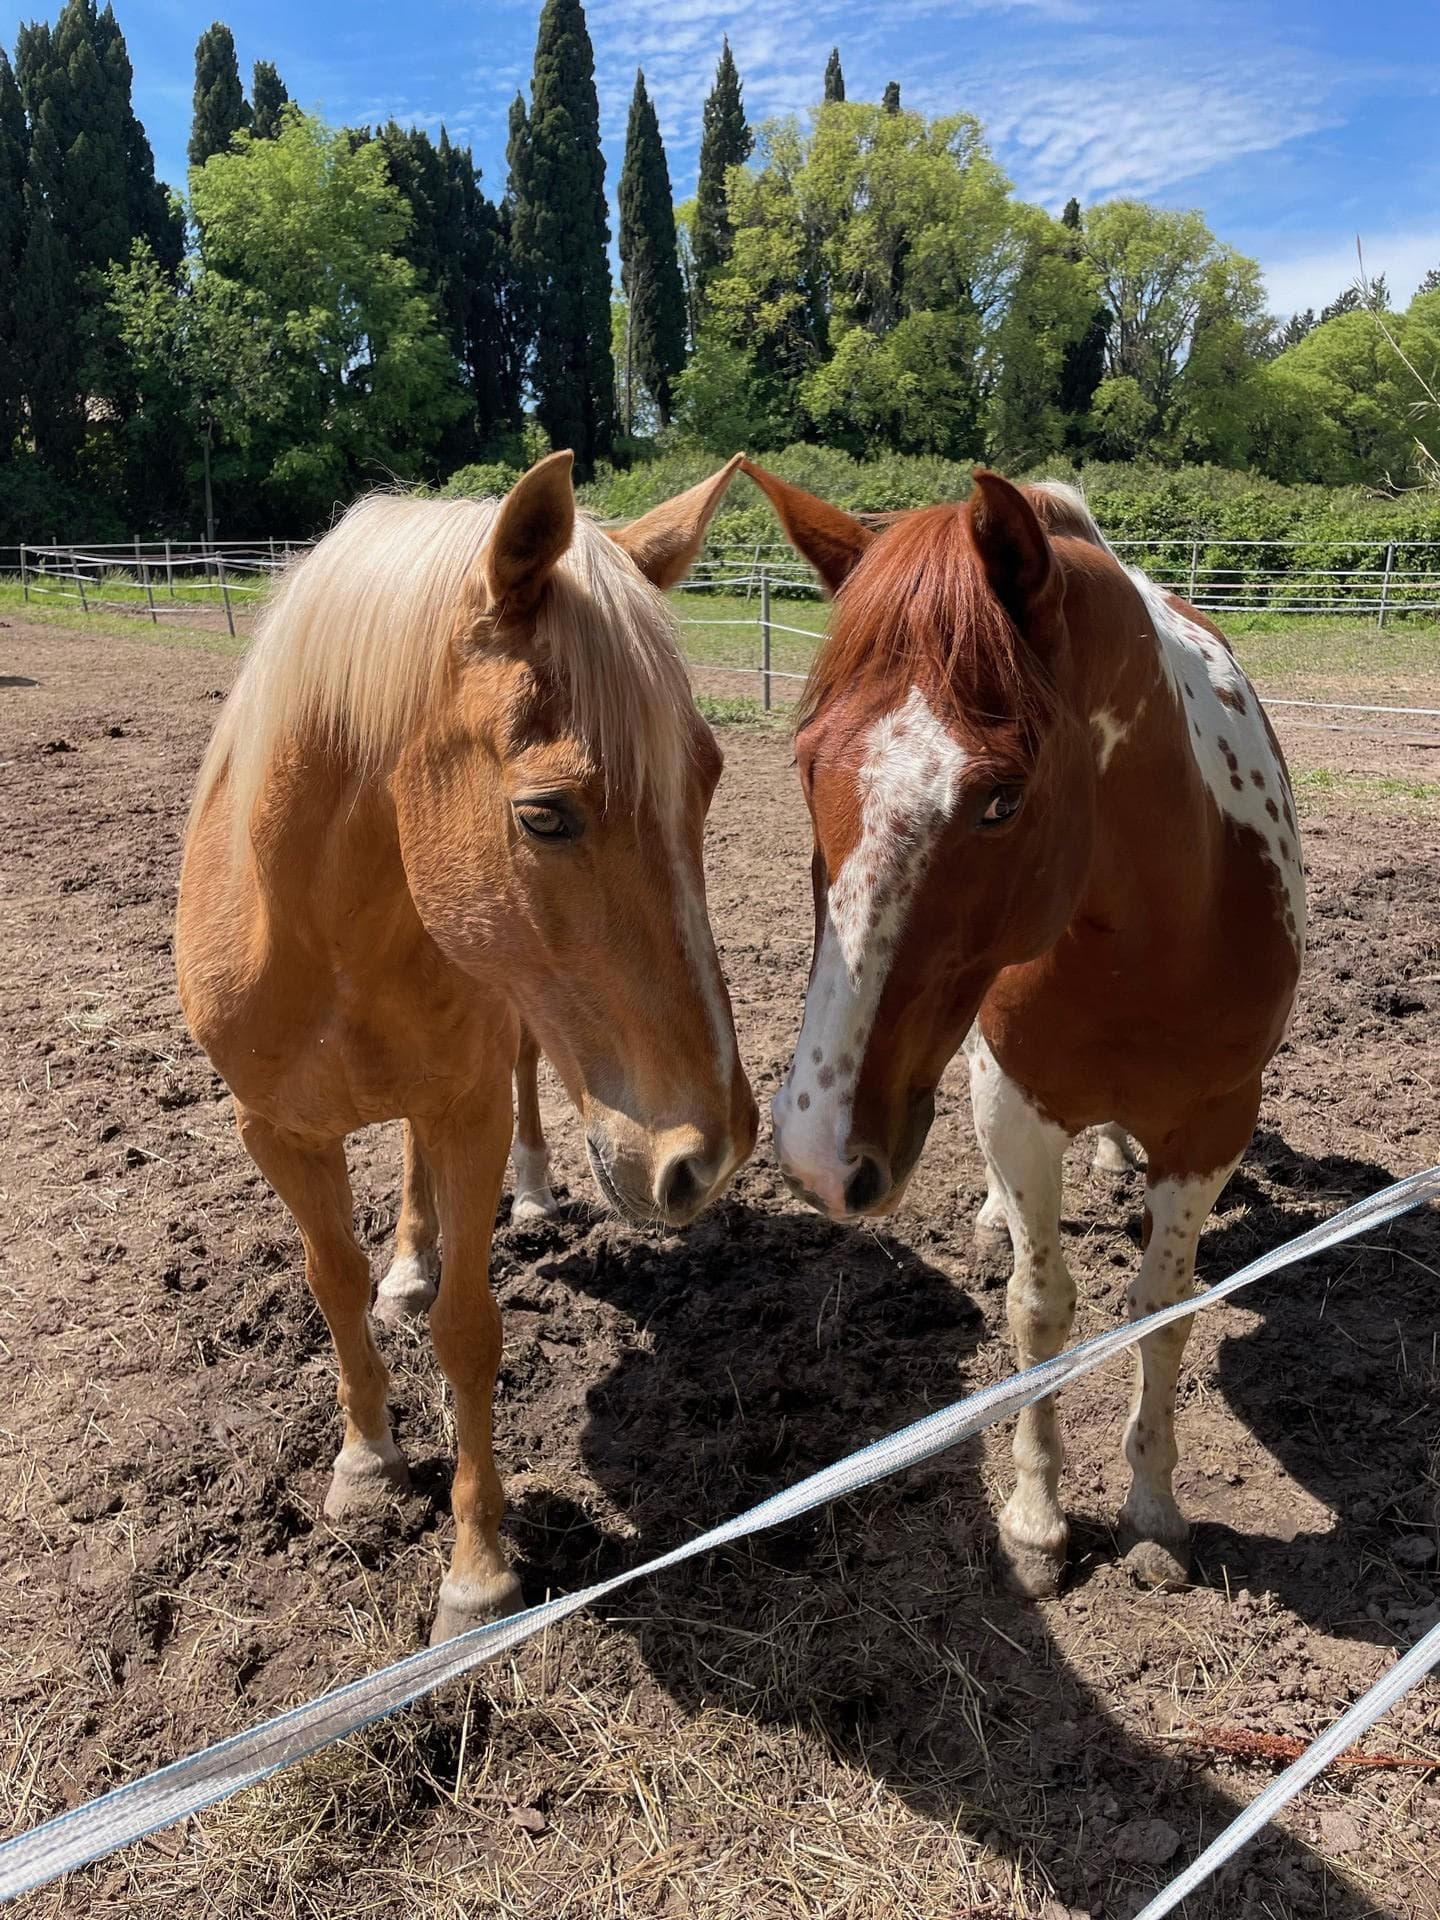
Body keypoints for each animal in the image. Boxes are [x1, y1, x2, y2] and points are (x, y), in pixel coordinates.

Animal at [176, 451, 758, 1642]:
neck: (320, 934)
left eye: (709, 776)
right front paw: (364, 1465)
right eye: (543, 815)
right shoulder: (274, 1131)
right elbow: (333, 1282)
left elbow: (470, 1328)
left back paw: (530, 1193)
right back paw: (409, 1261)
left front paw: (478, 1571)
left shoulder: (470, 1104)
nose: (710, 1155)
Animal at [741, 458, 1304, 1598]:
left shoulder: (1215, 1122)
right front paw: (1038, 1521)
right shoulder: (1016, 1100)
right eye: (808, 762)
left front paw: (1152, 1512)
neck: (1159, 924)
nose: (818, 1156)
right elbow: (1040, 1310)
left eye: (1001, 800)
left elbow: (1160, 1304)